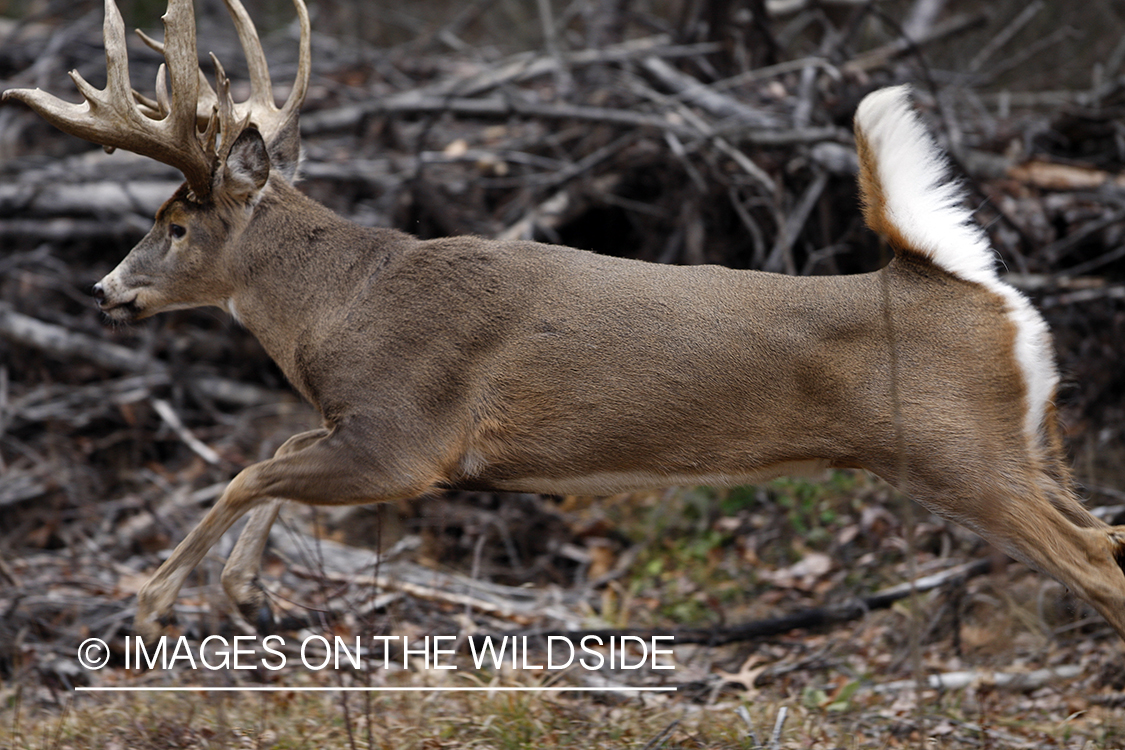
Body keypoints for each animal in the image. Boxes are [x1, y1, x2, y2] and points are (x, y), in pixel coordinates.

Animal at [6, 0, 1125, 647]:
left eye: (174, 222)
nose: (106, 291)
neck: (339, 306)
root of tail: (966, 286)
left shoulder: (407, 440)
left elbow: (250, 465)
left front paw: (157, 602)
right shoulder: (366, 433)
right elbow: (269, 455)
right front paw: (242, 595)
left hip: (959, 452)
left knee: (1099, 566)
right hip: (1034, 447)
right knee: (1105, 535)